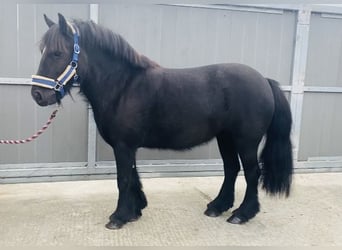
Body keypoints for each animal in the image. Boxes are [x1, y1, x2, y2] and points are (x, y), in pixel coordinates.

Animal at [32, 13, 292, 229]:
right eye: (42, 50)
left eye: (57, 53)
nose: (38, 95)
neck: (123, 86)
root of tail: (264, 80)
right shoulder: (128, 146)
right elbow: (133, 176)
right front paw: (135, 211)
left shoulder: (123, 146)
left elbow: (123, 179)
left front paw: (119, 217)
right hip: (225, 138)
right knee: (231, 169)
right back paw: (217, 206)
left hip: (246, 141)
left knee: (251, 173)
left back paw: (242, 214)